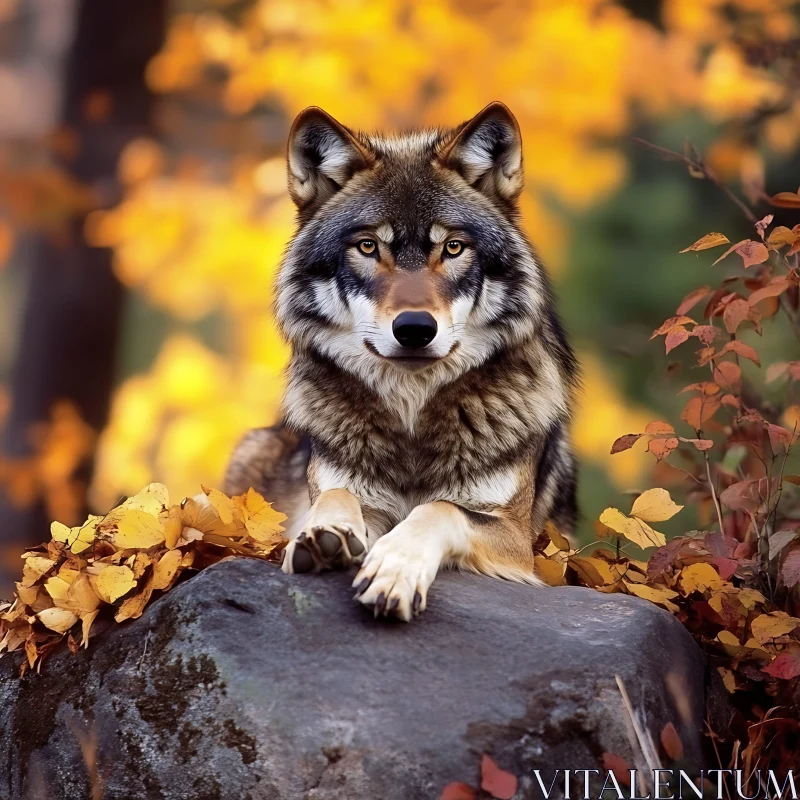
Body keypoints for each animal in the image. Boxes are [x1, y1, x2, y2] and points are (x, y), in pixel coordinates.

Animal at [223, 103, 576, 620]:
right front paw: (324, 536)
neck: (412, 420)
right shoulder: (345, 491)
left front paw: (395, 568)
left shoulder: (516, 538)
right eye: (368, 246)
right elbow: (336, 494)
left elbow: (439, 509)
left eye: (453, 247)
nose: (413, 328)